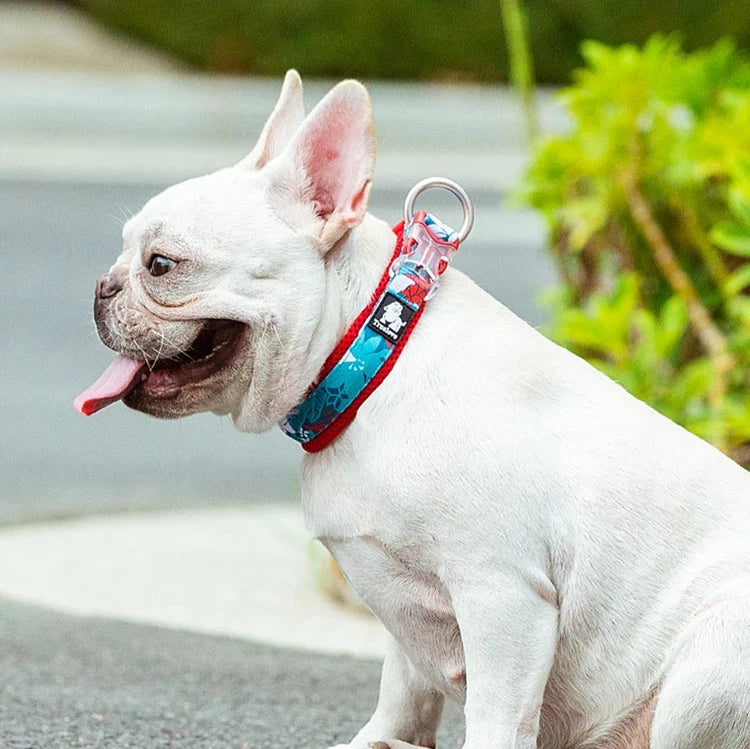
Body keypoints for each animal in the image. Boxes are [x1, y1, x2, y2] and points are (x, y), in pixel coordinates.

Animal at [78, 71, 750, 748]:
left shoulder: (503, 596)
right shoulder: (402, 604)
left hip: (710, 665)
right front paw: (382, 738)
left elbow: (496, 713)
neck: (370, 359)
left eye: (161, 265)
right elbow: (403, 686)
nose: (102, 286)